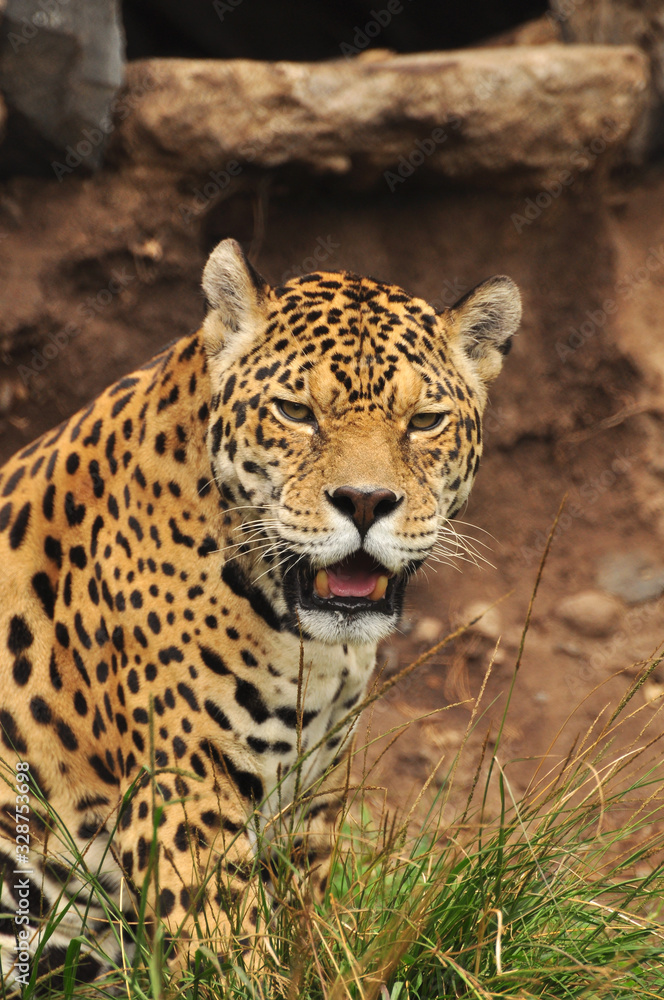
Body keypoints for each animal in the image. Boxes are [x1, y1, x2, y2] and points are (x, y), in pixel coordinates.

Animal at [0, 238, 521, 988]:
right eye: (295, 412)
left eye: (424, 422)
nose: (365, 501)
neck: (315, 650)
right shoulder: (186, 800)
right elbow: (233, 961)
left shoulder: (309, 802)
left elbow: (303, 938)